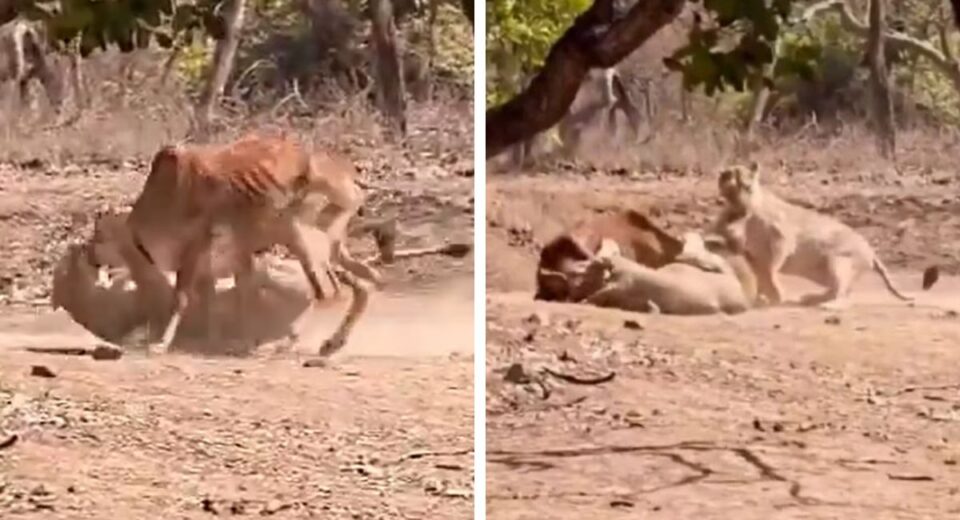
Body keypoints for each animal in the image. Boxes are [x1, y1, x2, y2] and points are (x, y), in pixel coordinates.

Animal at [712, 162, 912, 309]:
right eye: (728, 173)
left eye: (740, 176)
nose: (724, 175)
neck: (742, 210)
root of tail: (871, 251)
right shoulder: (751, 255)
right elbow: (761, 276)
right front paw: (761, 298)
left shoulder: (781, 239)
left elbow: (770, 271)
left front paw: (775, 296)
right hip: (828, 272)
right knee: (840, 290)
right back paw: (811, 299)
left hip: (839, 263)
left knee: (843, 294)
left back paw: (827, 306)